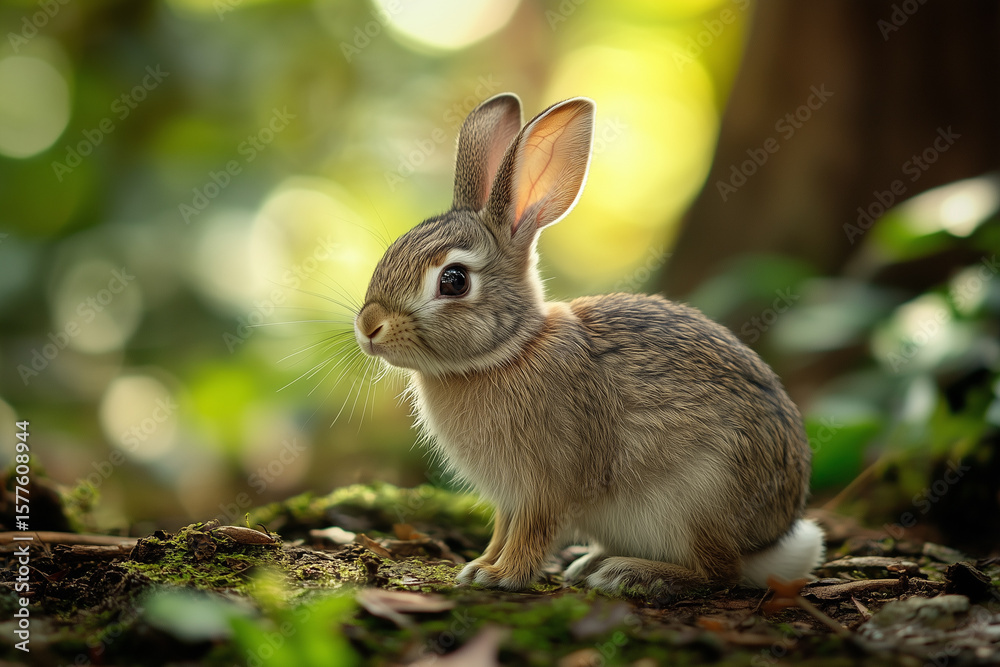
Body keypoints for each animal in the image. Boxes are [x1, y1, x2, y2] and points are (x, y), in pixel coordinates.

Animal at [354, 92, 825, 597]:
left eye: (454, 280)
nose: (368, 326)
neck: (510, 351)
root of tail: (772, 540)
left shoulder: (547, 483)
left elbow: (532, 531)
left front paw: (502, 575)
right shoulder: (510, 496)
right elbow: (503, 528)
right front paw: (481, 565)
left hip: (698, 499)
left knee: (721, 572)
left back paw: (628, 573)